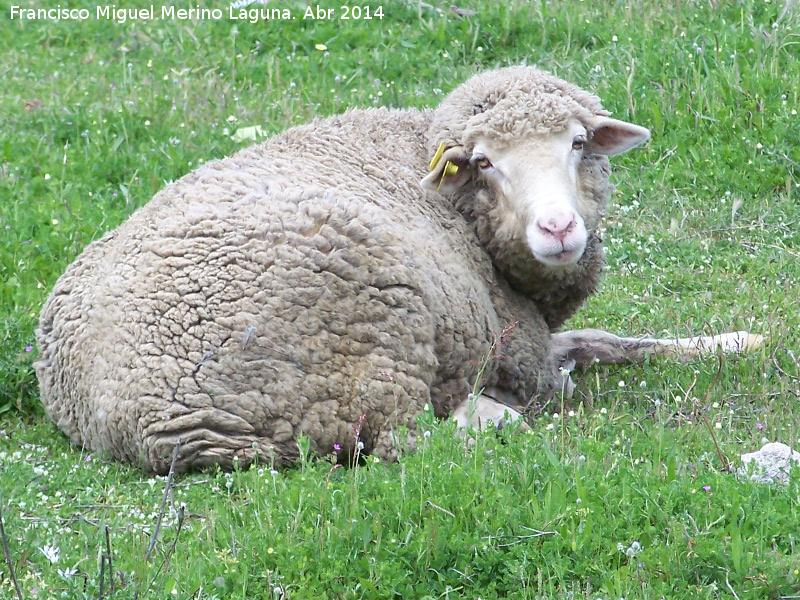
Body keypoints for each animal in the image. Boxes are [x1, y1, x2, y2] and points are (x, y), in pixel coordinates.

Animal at [34, 65, 760, 474]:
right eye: (485, 163)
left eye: (579, 143)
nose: (558, 230)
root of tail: (168, 430)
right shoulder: (519, 347)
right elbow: (585, 358)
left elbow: (609, 340)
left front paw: (735, 341)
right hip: (375, 330)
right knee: (406, 440)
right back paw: (490, 414)